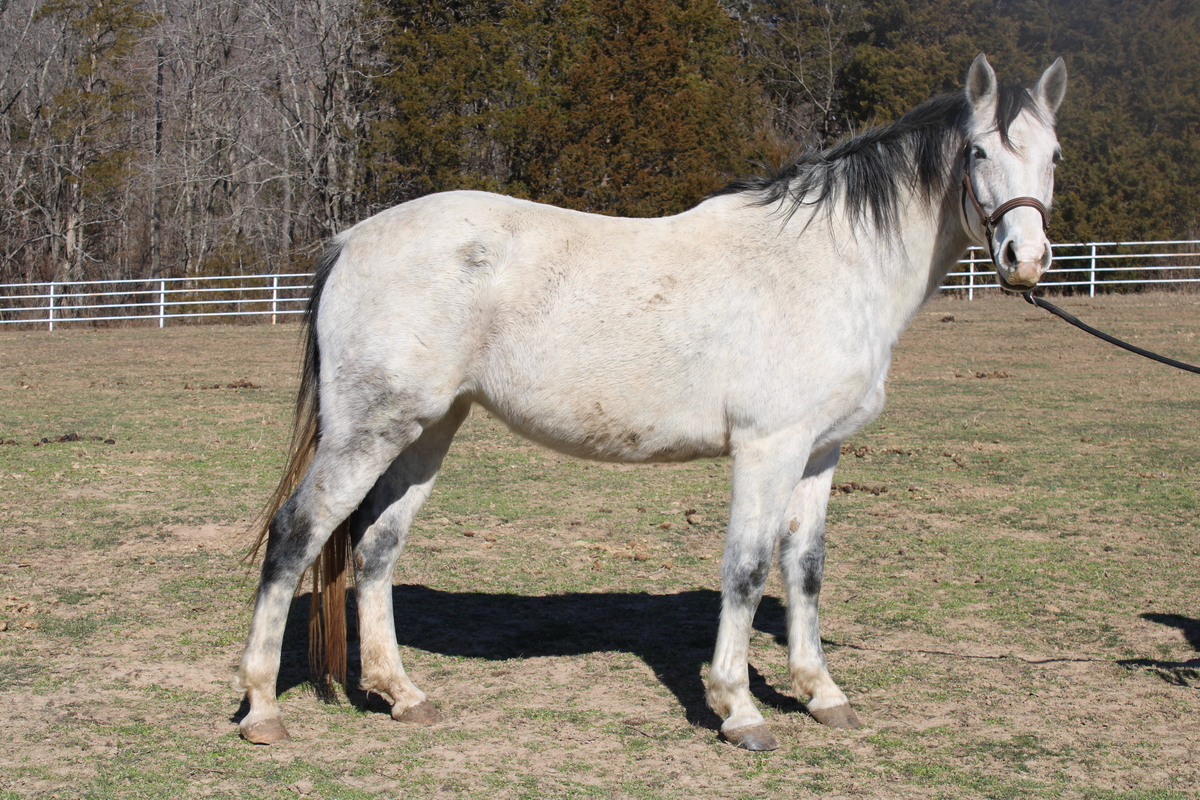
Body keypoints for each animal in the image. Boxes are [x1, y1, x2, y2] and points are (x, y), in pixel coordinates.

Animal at [236, 54, 1067, 751]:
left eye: (1053, 155)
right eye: (980, 153)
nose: (1025, 261)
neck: (825, 263)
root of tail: (350, 240)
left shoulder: (819, 451)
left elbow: (804, 568)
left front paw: (821, 694)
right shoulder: (768, 447)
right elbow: (747, 568)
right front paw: (739, 711)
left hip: (427, 429)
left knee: (375, 549)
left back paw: (401, 694)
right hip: (368, 432)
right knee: (296, 535)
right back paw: (263, 710)